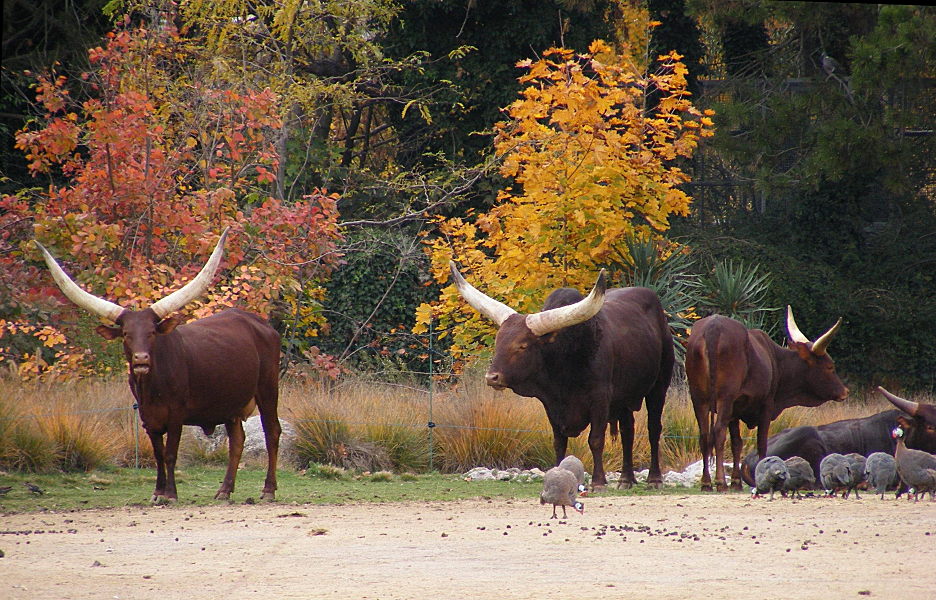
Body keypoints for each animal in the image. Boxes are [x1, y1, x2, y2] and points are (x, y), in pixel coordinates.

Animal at [35, 230, 282, 502]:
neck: (153, 387)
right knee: (237, 440)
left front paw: (170, 494)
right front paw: (157, 492)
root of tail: (261, 324)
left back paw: (268, 490)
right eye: (126, 334)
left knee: (272, 433)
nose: (141, 359)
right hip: (230, 403)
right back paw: (224, 490)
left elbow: (170, 454)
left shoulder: (176, 414)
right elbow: (158, 455)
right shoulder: (147, 417)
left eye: (152, 332)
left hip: (268, 389)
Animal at [448, 262, 672, 488]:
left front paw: (598, 482)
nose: (491, 378)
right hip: (624, 396)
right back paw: (626, 479)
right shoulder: (552, 404)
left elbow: (596, 440)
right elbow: (559, 442)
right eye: (498, 342)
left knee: (654, 429)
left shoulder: (600, 398)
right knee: (628, 430)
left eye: (522, 346)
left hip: (659, 387)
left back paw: (654, 478)